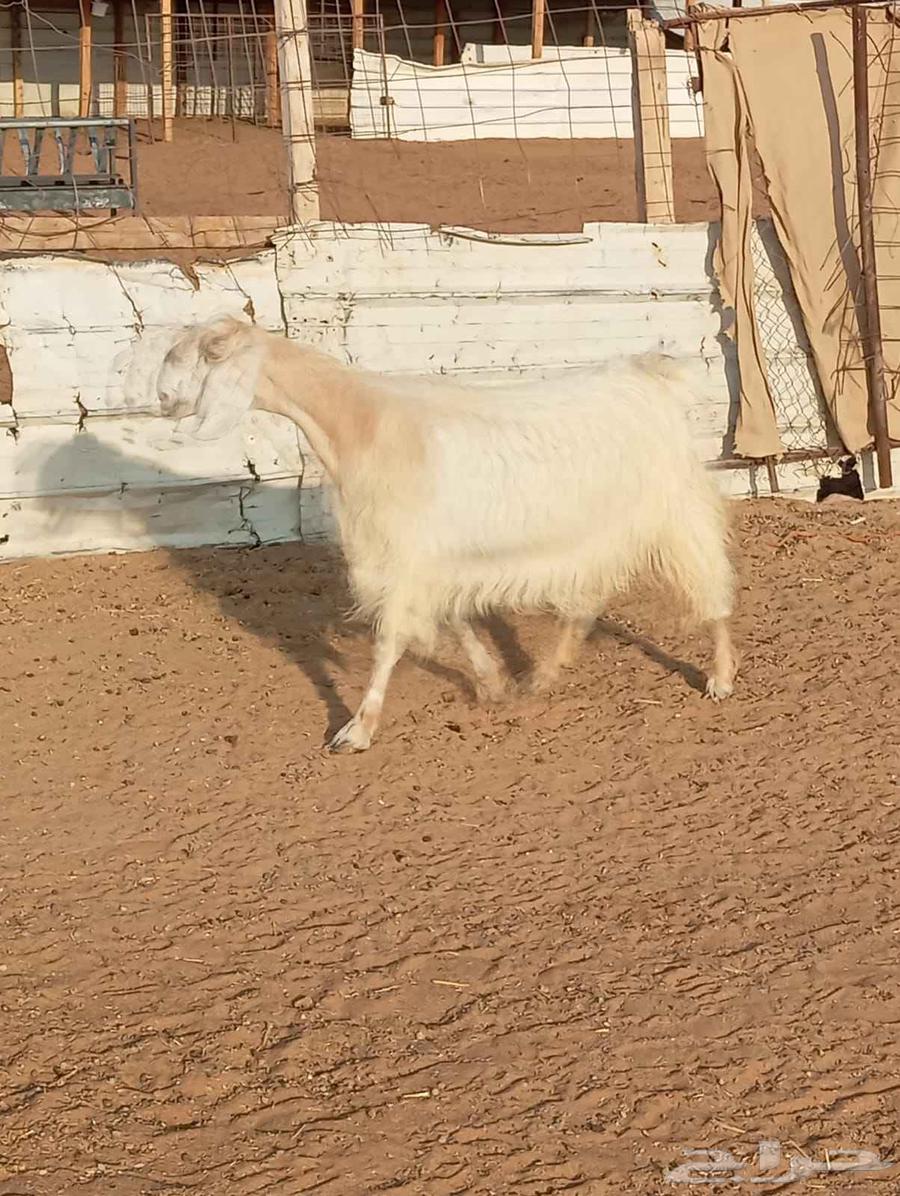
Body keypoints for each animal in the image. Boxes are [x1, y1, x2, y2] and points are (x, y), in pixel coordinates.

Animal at [141, 314, 738, 752]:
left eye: (201, 354)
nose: (161, 401)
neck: (363, 425)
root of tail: (649, 376)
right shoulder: (433, 558)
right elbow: (455, 622)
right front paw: (492, 682)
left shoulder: (405, 553)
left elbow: (388, 641)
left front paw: (356, 730)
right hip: (599, 528)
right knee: (585, 602)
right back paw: (543, 676)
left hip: (674, 510)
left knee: (709, 587)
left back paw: (721, 676)